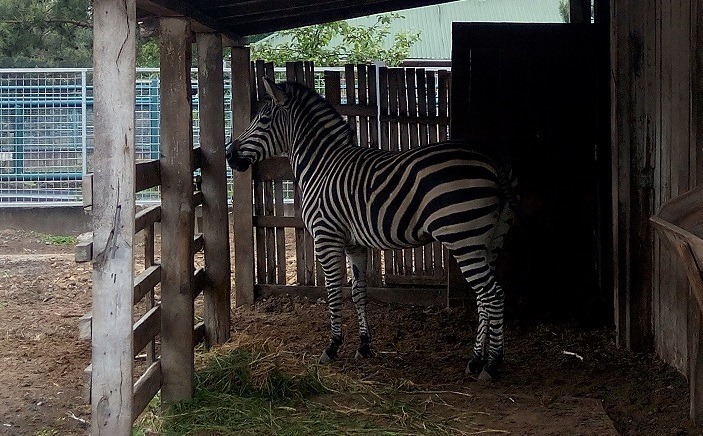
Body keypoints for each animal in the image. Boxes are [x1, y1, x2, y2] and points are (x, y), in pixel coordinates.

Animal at [226, 79, 516, 382]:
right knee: (484, 299)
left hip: (463, 238)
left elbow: (333, 291)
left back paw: (492, 364)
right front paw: (364, 346)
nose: (228, 154)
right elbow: (358, 291)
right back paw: (476, 360)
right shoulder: (355, 244)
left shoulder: (326, 236)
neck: (322, 166)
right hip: (490, 240)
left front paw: (332, 347)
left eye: (263, 119)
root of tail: (492, 162)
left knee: (493, 295)